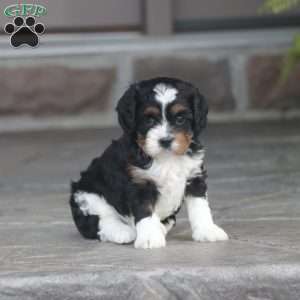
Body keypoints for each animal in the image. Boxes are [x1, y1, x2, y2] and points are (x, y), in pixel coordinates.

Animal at [69, 77, 227, 248]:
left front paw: (207, 230)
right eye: (149, 120)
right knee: (99, 221)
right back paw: (122, 231)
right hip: (86, 195)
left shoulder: (194, 176)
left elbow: (200, 206)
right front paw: (150, 238)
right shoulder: (139, 184)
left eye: (180, 119)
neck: (166, 158)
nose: (165, 140)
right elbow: (145, 211)